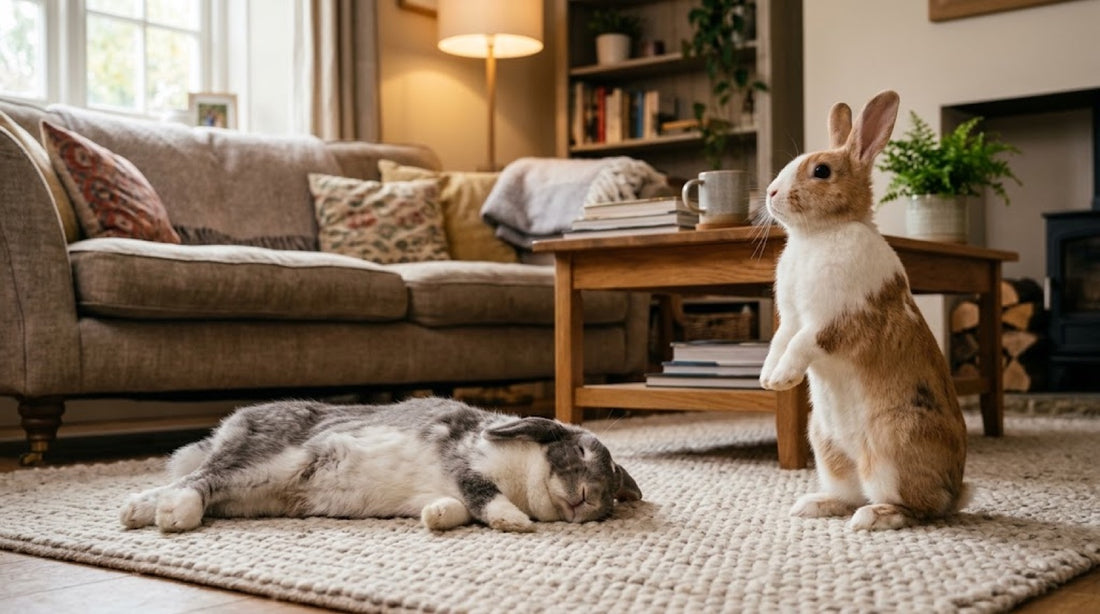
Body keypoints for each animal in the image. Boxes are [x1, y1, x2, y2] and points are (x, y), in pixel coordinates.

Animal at [119, 397, 641, 533]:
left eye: (612, 497)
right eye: (581, 453)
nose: (588, 499)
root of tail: (233, 423)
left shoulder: (447, 484)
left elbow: (456, 507)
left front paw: (436, 518)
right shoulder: (462, 455)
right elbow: (481, 493)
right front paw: (513, 521)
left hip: (252, 495)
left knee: (197, 482)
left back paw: (138, 509)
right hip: (261, 462)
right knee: (201, 479)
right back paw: (174, 514)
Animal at [759, 90, 971, 531]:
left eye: (821, 171)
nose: (770, 193)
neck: (821, 233)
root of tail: (955, 489)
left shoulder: (837, 320)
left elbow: (803, 343)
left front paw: (784, 378)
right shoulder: (790, 318)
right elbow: (779, 342)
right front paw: (768, 379)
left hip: (893, 446)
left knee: (918, 509)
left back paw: (873, 517)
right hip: (824, 444)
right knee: (849, 493)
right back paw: (813, 505)